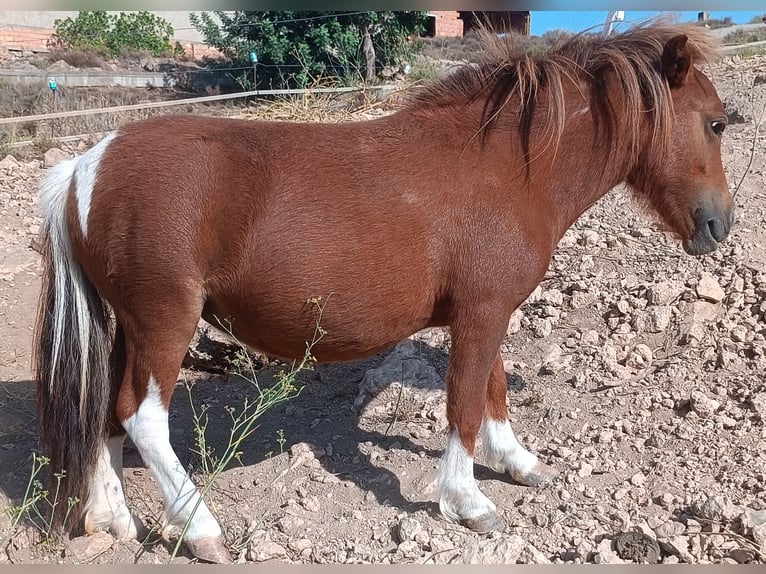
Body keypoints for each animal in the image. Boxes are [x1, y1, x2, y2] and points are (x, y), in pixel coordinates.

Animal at [36, 21, 736, 564]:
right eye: (716, 124)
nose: (720, 225)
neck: (511, 167)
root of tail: (86, 164)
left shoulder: (484, 309)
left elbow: (493, 389)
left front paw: (518, 462)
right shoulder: (481, 313)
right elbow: (465, 404)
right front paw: (468, 501)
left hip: (128, 326)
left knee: (106, 412)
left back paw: (114, 520)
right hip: (165, 321)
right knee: (142, 417)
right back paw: (202, 529)